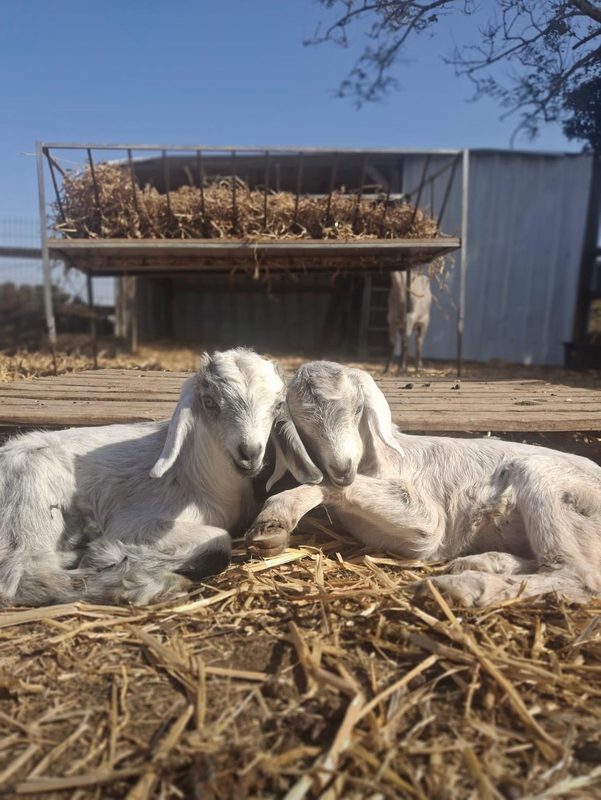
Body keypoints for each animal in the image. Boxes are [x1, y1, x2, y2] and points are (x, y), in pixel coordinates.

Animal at [0, 348, 318, 606]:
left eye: (277, 405)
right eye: (209, 402)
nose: (249, 453)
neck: (196, 475)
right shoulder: (137, 523)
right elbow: (219, 542)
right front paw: (107, 553)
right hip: (32, 500)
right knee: (24, 575)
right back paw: (144, 584)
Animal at [246, 361, 601, 606]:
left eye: (358, 408)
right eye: (302, 425)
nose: (343, 468)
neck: (383, 461)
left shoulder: (430, 531)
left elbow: (331, 488)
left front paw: (274, 517)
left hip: (549, 485)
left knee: (578, 575)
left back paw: (464, 586)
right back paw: (482, 563)